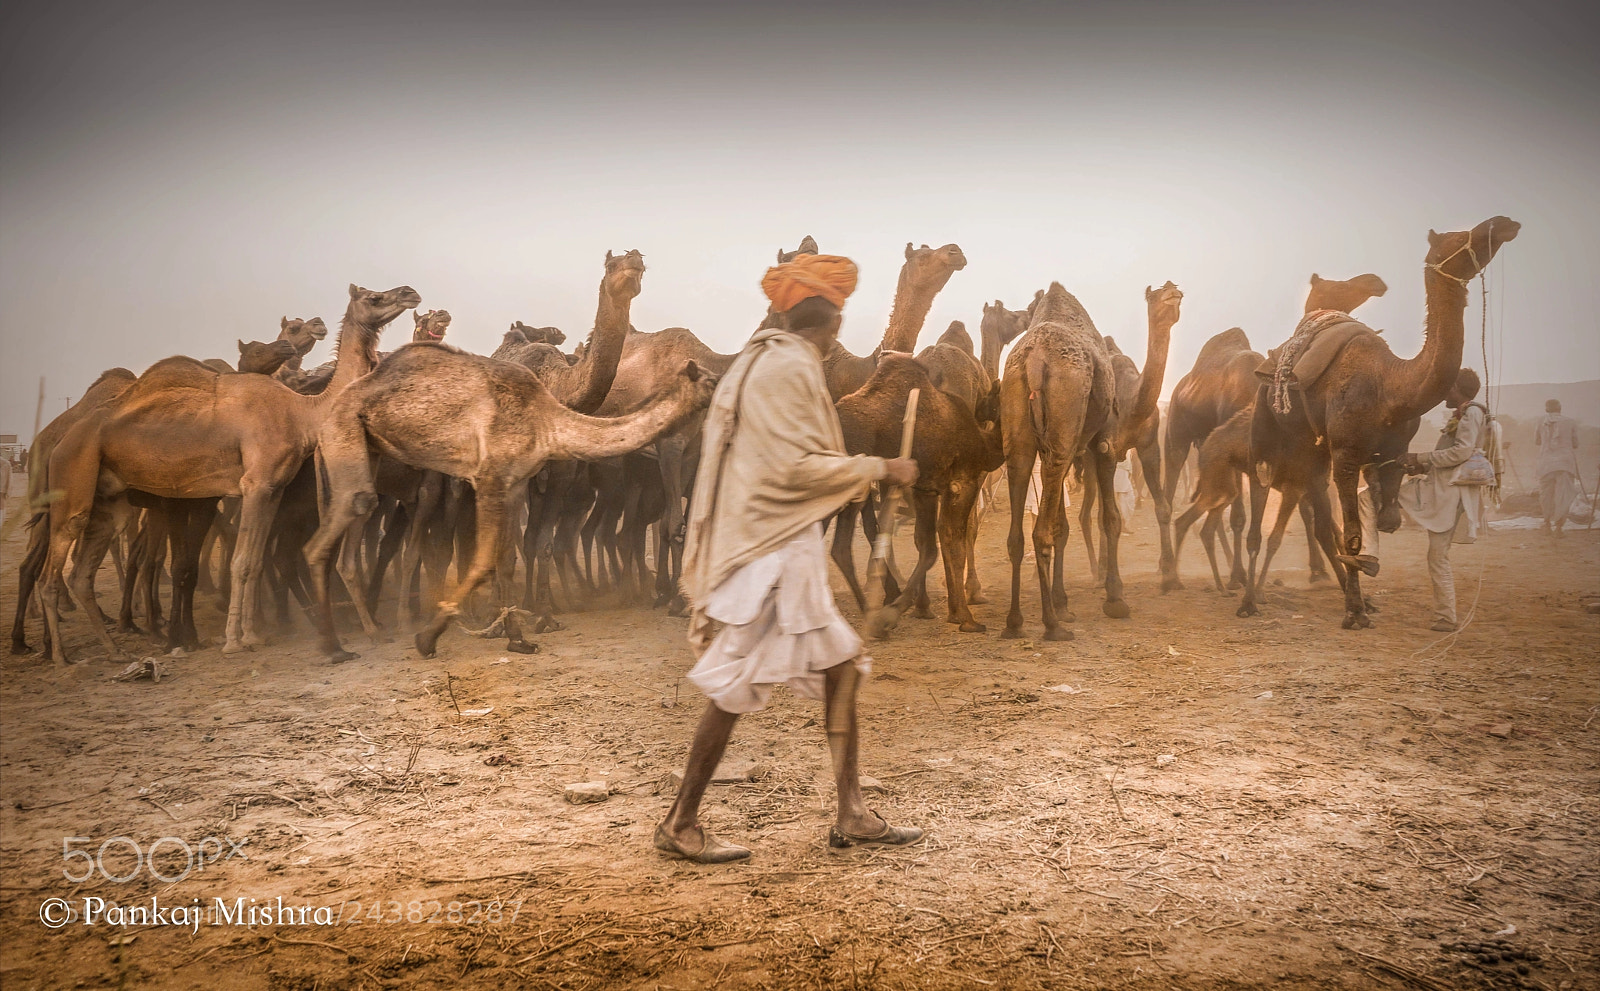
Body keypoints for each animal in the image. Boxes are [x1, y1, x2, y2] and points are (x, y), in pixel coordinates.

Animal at [38, 284, 421, 662]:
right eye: (374, 297)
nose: (410, 292)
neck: (303, 412)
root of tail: (59, 441)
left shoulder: (273, 489)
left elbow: (255, 561)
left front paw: (253, 634)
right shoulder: (255, 484)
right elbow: (241, 561)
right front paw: (234, 641)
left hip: (109, 500)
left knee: (82, 574)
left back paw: (115, 650)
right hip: (72, 481)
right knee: (51, 575)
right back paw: (62, 657)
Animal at [303, 343, 718, 662]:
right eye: (711, 380)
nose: (726, 390)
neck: (548, 417)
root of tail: (327, 412)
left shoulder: (515, 483)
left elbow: (505, 557)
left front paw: (517, 638)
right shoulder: (489, 477)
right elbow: (483, 559)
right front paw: (428, 638)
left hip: (358, 455)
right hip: (346, 439)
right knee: (330, 534)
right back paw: (335, 646)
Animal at [998, 282, 1131, 640]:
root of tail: (1034, 360)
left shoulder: (1066, 449)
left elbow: (1063, 525)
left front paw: (1063, 603)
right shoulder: (1104, 442)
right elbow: (1110, 518)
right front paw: (1115, 599)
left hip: (1023, 439)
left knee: (1017, 535)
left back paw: (1014, 622)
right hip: (1064, 427)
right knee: (1041, 533)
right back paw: (1051, 626)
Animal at [1240, 217, 1520, 627]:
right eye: (1458, 237)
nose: (1502, 223)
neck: (1390, 386)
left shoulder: (1393, 451)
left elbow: (1385, 518)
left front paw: (1362, 595)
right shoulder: (1345, 453)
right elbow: (1353, 532)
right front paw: (1354, 612)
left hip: (1312, 455)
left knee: (1321, 523)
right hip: (1265, 440)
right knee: (1258, 516)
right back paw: (1247, 601)